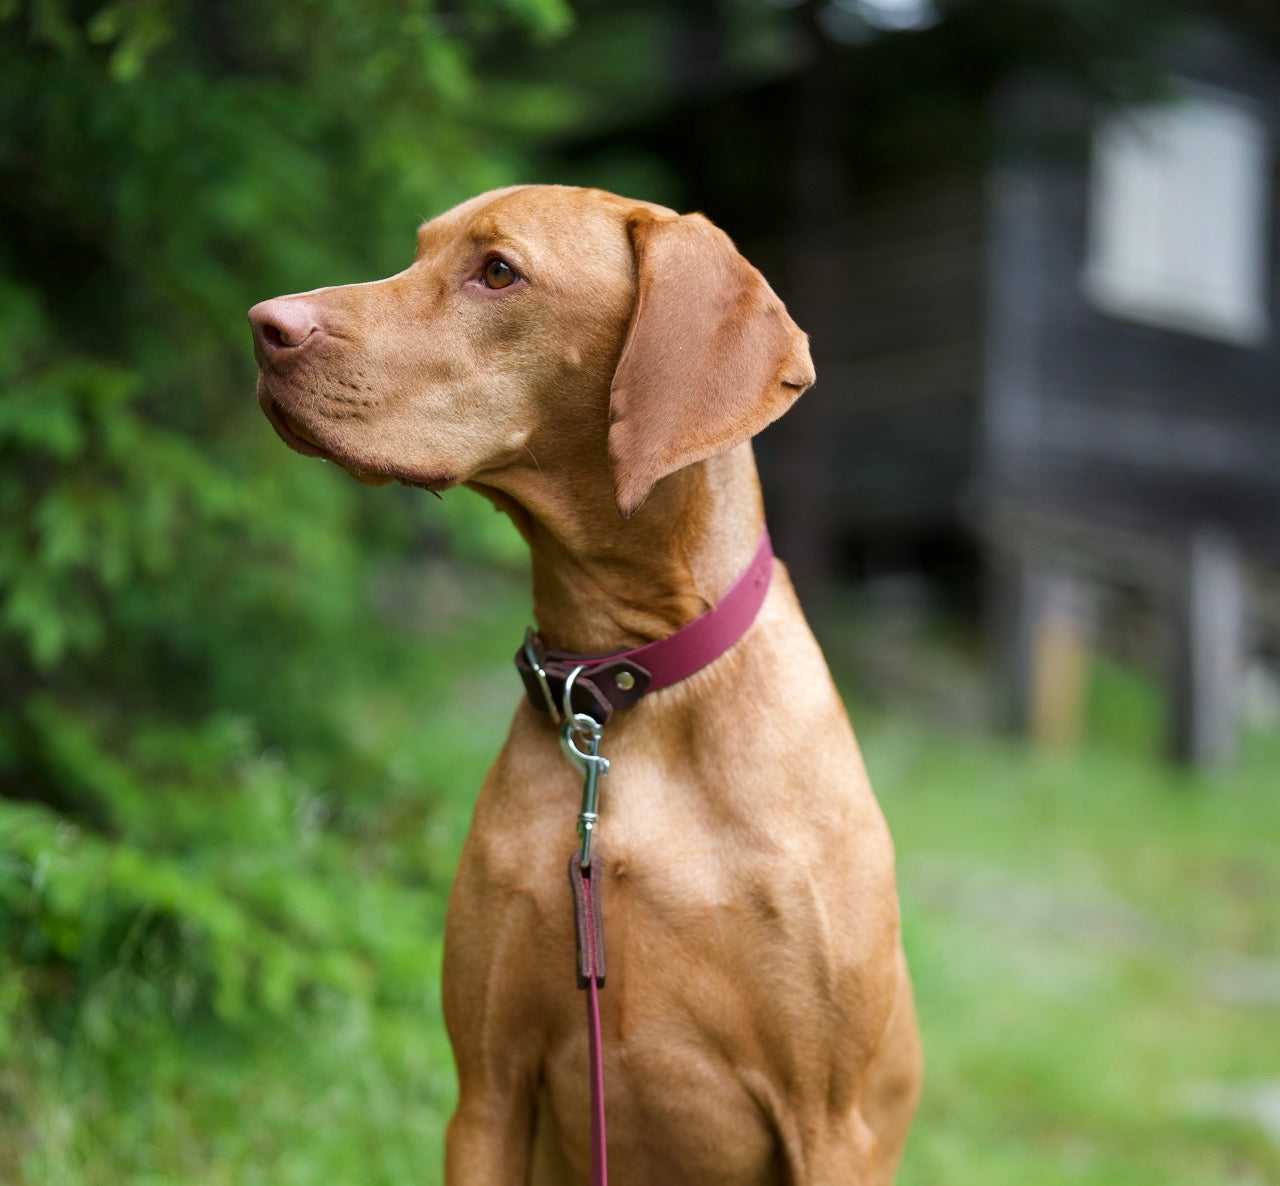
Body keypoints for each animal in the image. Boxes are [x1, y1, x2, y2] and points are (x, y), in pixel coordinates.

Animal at [247, 180, 921, 1182]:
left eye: (497, 272)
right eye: (418, 250)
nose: (263, 324)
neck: (627, 692)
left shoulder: (831, 1124)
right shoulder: (486, 1094)